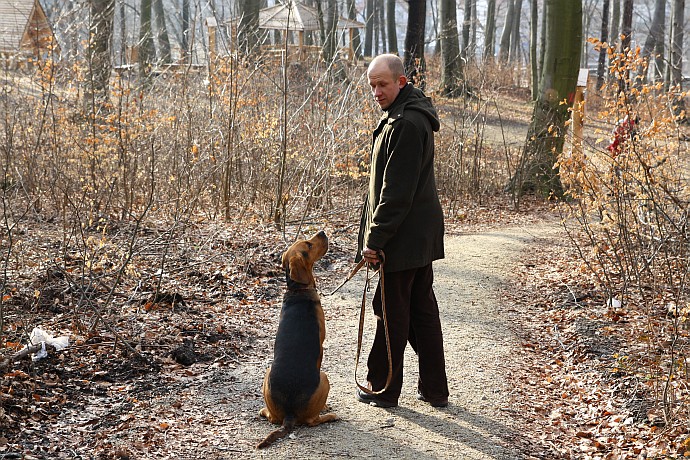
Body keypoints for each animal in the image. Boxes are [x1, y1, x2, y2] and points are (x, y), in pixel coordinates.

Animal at [255, 232, 336, 448]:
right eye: (308, 245)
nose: (322, 232)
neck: (297, 289)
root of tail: (289, 414)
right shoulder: (321, 348)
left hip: (267, 374)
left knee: (272, 418)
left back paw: (264, 411)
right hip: (324, 377)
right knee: (312, 421)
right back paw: (329, 415)